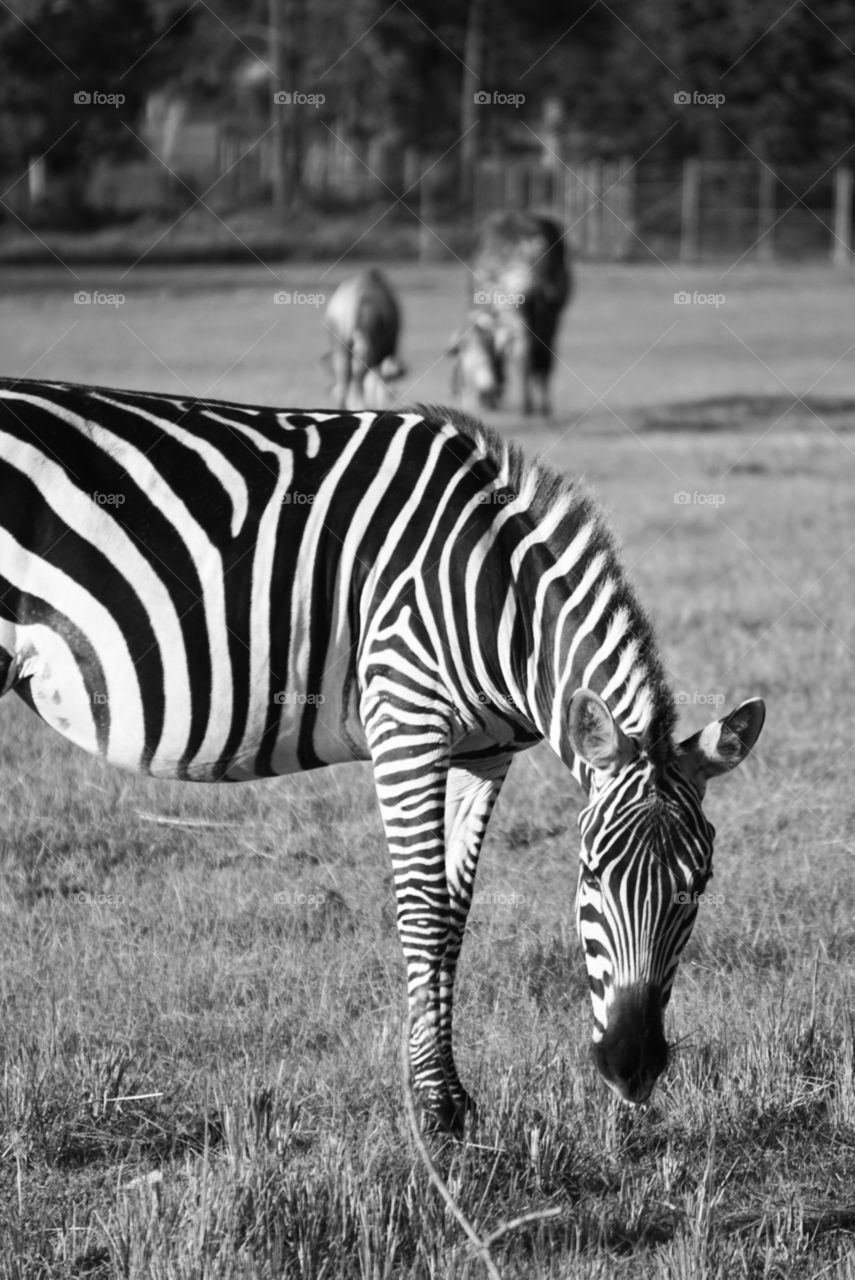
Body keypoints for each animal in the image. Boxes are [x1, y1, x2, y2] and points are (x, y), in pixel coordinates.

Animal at [0, 378, 765, 1133]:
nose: (631, 1068)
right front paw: (436, 1111)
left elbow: (454, 915)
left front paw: (449, 1094)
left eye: (700, 885)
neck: (498, 594)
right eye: (591, 874)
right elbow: (423, 910)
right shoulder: (405, 716)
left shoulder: (484, 754)